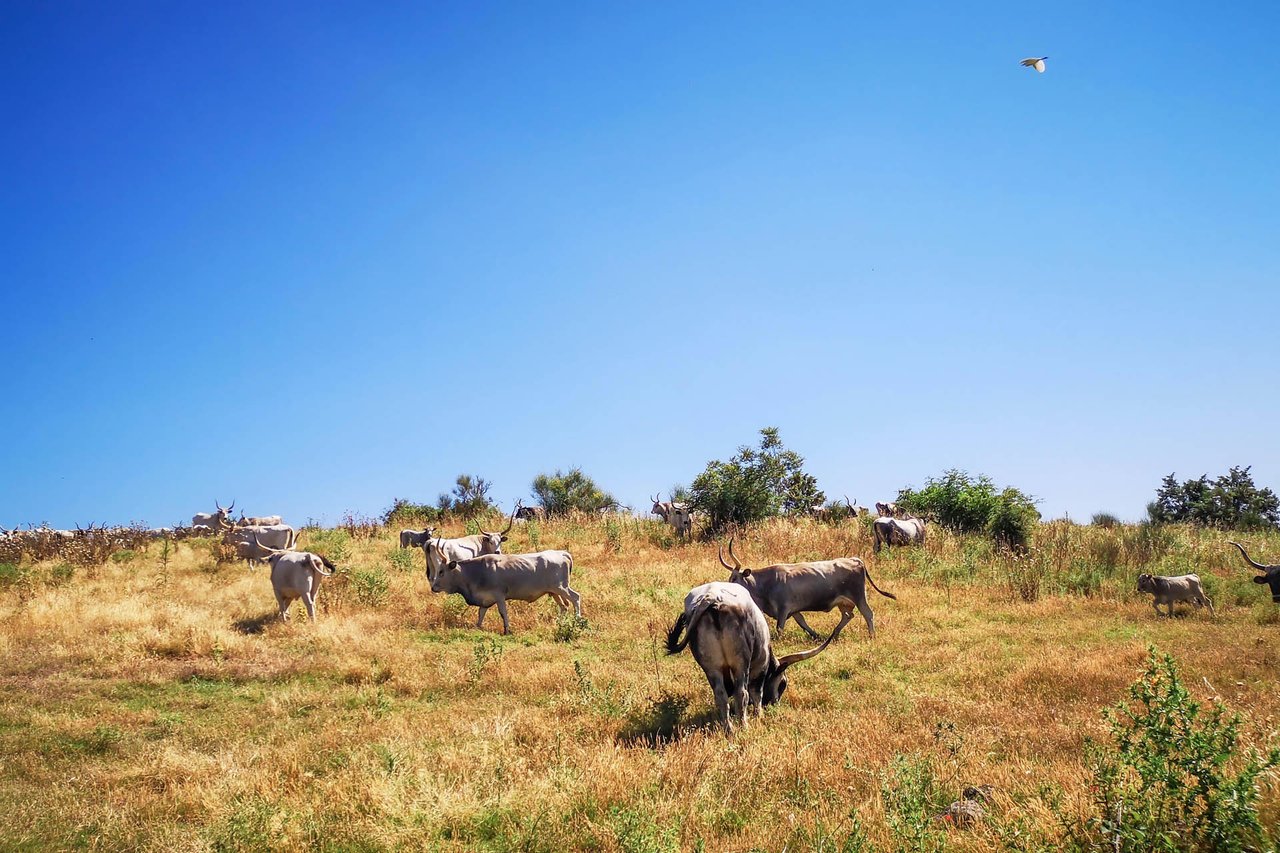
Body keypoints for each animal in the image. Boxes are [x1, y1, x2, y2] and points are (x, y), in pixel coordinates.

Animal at [427, 545, 583, 630]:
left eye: (441, 572)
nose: (433, 588)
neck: (476, 571)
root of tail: (562, 553)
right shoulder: (485, 599)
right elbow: (480, 614)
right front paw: (477, 626)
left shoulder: (499, 596)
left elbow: (503, 613)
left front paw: (507, 629)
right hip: (554, 591)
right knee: (564, 606)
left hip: (561, 587)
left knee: (575, 598)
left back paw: (578, 619)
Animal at [670, 581, 849, 732]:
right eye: (783, 683)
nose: (774, 704)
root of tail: (712, 598)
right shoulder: (760, 664)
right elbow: (757, 691)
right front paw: (759, 715)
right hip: (741, 663)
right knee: (742, 693)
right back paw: (744, 726)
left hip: (711, 667)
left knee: (721, 695)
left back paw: (729, 729)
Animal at [716, 535, 896, 635]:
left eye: (734, 578)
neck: (765, 584)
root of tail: (855, 559)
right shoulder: (794, 610)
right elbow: (803, 623)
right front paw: (815, 635)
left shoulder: (783, 609)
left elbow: (780, 629)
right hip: (844, 602)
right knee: (847, 616)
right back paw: (835, 633)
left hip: (859, 596)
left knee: (868, 614)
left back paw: (872, 635)